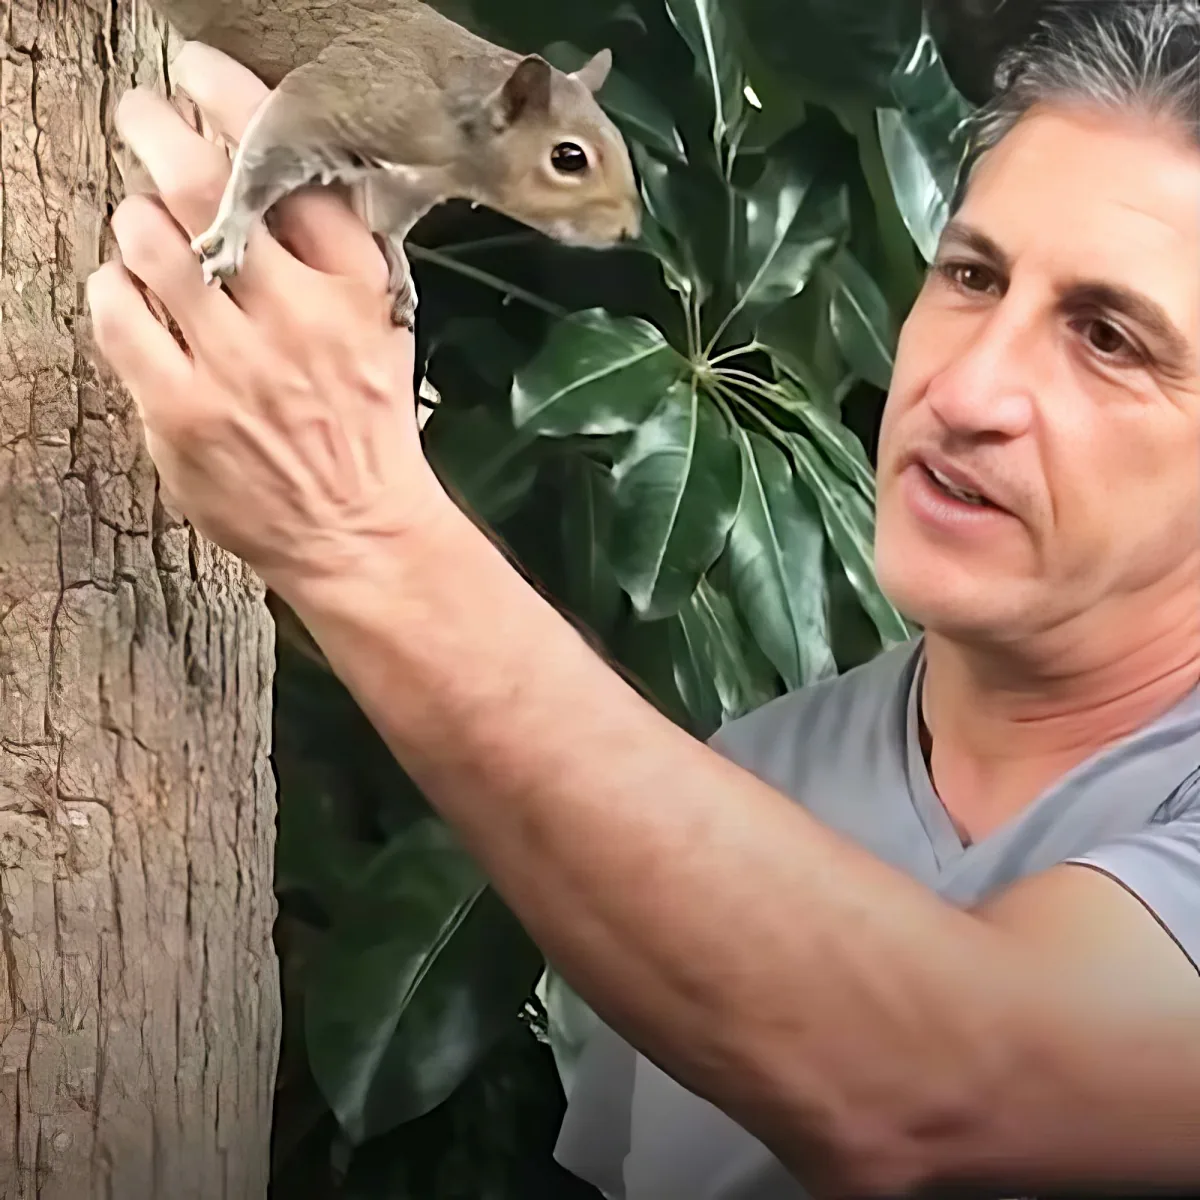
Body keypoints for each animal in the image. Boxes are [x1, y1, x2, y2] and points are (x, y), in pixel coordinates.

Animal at [140, 0, 642, 329]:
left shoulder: (411, 185)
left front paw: (399, 263)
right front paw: (235, 229)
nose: (629, 232)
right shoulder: (356, 95)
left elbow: (386, 222)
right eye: (569, 158)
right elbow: (279, 139)